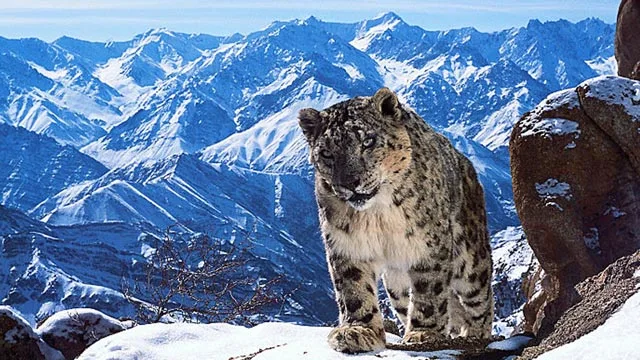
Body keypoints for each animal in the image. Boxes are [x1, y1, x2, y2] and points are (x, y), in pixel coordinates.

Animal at [298, 88, 492, 352]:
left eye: (367, 141)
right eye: (326, 153)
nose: (350, 182)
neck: (377, 214)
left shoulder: (429, 246)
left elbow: (429, 290)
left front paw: (423, 333)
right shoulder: (346, 245)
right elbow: (353, 290)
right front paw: (358, 331)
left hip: (471, 260)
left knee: (480, 301)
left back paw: (474, 334)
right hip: (396, 287)